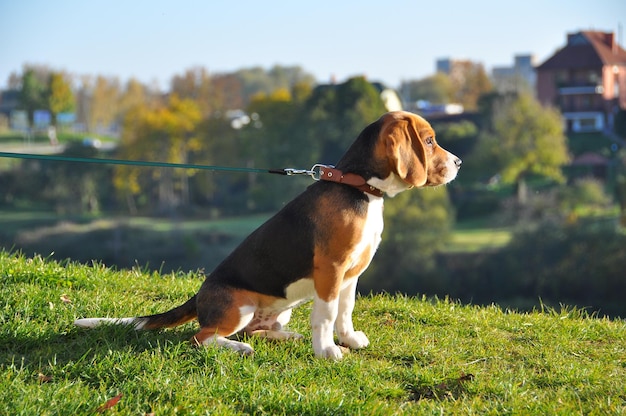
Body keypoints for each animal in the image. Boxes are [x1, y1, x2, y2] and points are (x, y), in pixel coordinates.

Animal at [75, 111, 460, 360]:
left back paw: (285, 335)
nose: (458, 164)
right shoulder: (331, 271)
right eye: (429, 141)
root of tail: (198, 298)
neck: (358, 187)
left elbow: (344, 312)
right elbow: (325, 316)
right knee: (202, 338)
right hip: (239, 307)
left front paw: (350, 340)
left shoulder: (351, 276)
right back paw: (239, 348)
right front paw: (327, 351)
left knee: (251, 331)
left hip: (278, 310)